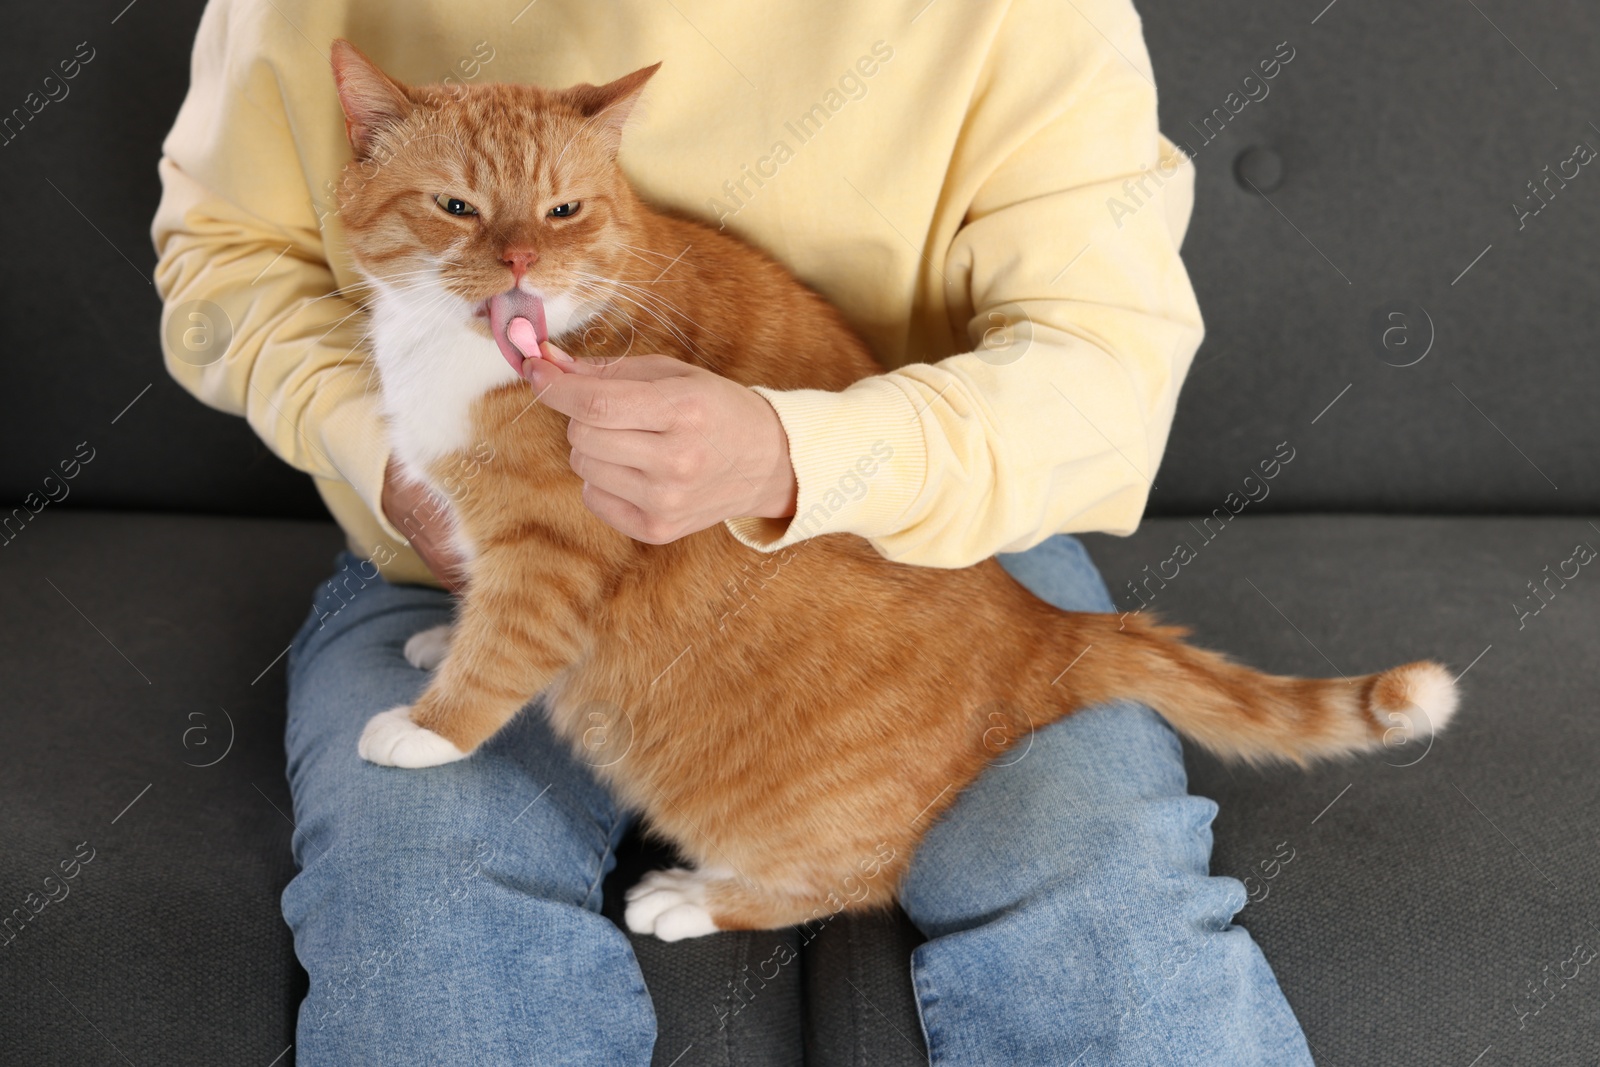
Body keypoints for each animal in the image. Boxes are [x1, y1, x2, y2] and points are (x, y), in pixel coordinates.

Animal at [331, 43, 1459, 940]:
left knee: (853, 883)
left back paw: (695, 898)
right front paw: (440, 636)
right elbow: (476, 607)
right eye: (457, 207)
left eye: (564, 210)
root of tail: (1043, 626)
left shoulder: (553, 551)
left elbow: (505, 643)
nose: (523, 259)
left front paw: (430, 725)